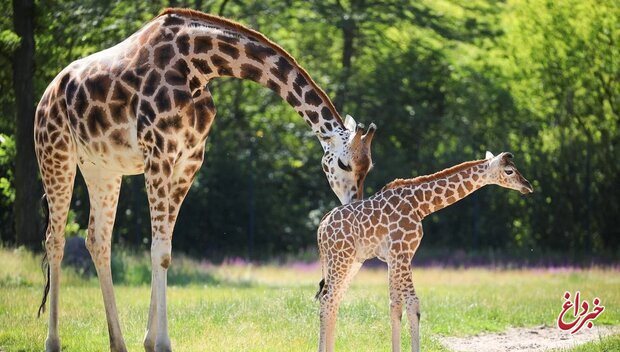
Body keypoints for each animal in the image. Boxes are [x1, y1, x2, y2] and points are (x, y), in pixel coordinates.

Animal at [35, 8, 378, 352]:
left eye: (369, 167)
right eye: (344, 164)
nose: (354, 205)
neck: (198, 65)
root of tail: (47, 94)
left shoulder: (188, 161)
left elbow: (165, 249)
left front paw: (149, 341)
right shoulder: (157, 154)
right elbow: (159, 250)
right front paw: (162, 343)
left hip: (102, 168)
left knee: (97, 240)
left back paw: (117, 343)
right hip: (55, 153)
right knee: (55, 239)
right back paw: (53, 341)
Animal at [314, 152, 532, 352]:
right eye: (509, 171)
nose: (528, 186)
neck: (420, 204)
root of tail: (322, 226)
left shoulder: (394, 257)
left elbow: (395, 305)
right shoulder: (403, 253)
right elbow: (413, 305)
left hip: (352, 261)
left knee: (334, 300)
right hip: (341, 258)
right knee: (327, 299)